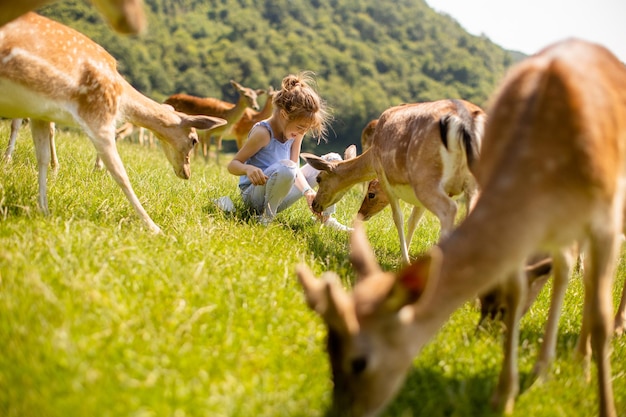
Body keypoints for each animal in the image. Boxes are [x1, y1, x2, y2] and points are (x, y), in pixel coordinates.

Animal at [0, 13, 224, 232]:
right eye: (194, 139)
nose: (187, 173)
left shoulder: (40, 113)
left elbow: (42, 157)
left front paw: (43, 210)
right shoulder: (99, 118)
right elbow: (121, 174)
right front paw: (155, 228)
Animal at [302, 99, 482, 264]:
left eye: (319, 178)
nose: (315, 204)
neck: (372, 157)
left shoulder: (383, 174)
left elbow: (398, 218)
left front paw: (405, 260)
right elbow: (413, 221)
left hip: (425, 178)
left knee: (450, 210)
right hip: (472, 183)